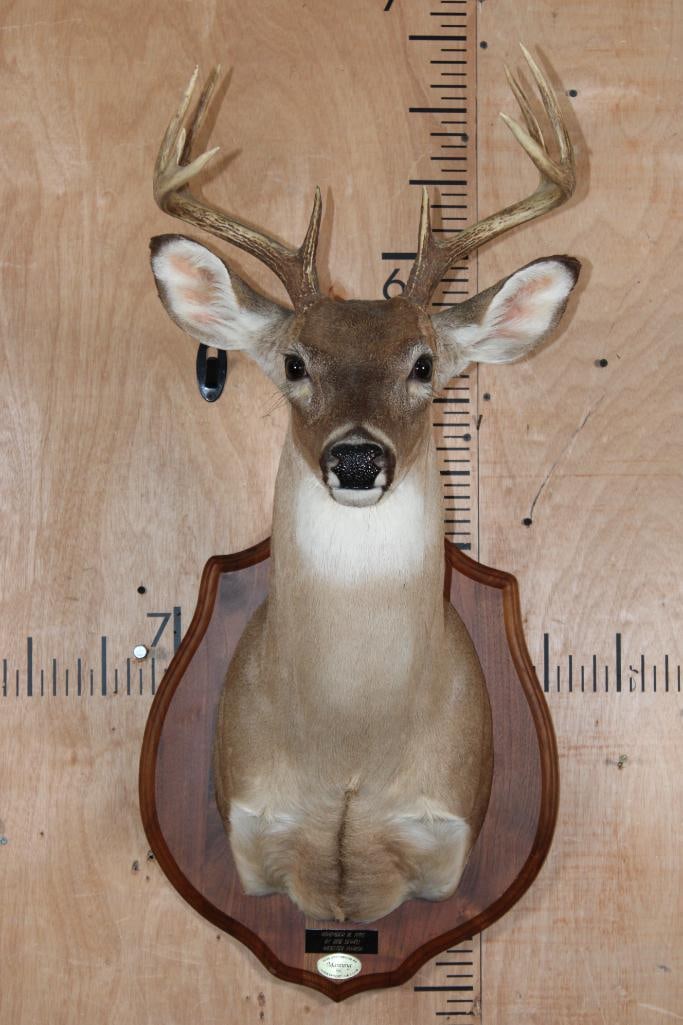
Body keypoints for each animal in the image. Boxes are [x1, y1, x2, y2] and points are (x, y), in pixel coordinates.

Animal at [149, 46, 579, 923]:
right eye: (292, 362)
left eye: (422, 365)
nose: (355, 459)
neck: (349, 751)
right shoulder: (254, 827)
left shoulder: (441, 834)